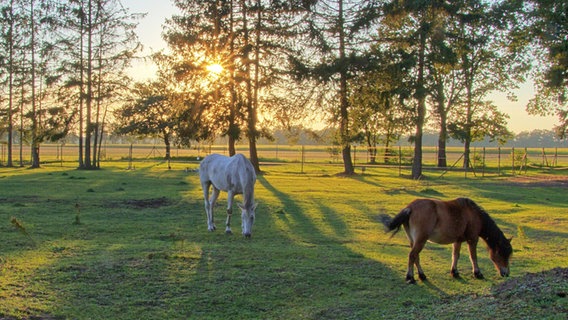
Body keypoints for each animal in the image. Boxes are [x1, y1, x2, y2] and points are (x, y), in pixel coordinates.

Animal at [380, 198, 512, 284]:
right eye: (502, 254)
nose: (506, 274)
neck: (473, 214)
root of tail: (410, 208)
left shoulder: (457, 241)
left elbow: (455, 255)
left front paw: (455, 272)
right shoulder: (472, 239)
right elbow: (473, 257)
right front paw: (477, 273)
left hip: (413, 240)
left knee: (415, 256)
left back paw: (422, 275)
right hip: (420, 240)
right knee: (412, 255)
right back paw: (410, 277)